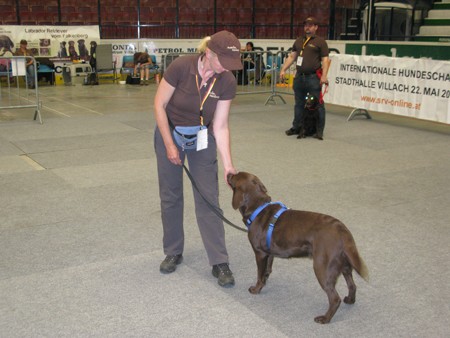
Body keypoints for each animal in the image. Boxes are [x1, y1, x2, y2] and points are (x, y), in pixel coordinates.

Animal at [227, 173, 368, 324]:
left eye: (235, 175)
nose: (228, 173)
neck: (258, 208)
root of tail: (342, 231)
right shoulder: (269, 253)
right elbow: (267, 270)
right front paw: (265, 282)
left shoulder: (260, 253)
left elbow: (259, 273)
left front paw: (256, 289)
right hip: (345, 264)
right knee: (352, 285)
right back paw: (350, 300)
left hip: (322, 268)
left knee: (335, 298)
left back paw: (324, 318)